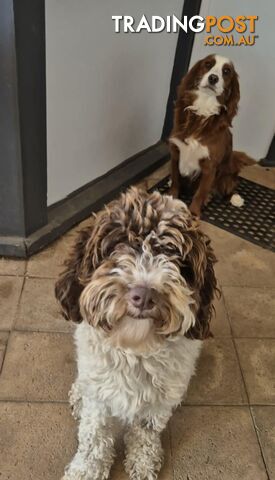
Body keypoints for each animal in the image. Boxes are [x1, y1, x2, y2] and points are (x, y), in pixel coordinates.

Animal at [55, 188, 218, 480]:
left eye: (176, 258)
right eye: (117, 246)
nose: (144, 295)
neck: (136, 347)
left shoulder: (160, 399)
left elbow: (145, 430)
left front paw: (143, 460)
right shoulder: (99, 394)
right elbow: (93, 435)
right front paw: (86, 470)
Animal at [171, 53, 256, 217]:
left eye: (226, 71)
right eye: (208, 64)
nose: (213, 78)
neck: (203, 110)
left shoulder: (210, 166)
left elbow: (200, 192)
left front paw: (194, 212)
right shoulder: (176, 152)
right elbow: (176, 181)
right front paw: (169, 198)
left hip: (227, 174)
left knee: (228, 186)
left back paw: (235, 198)